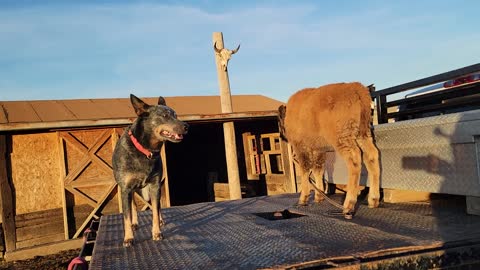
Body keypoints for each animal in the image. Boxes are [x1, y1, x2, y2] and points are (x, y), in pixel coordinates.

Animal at [112, 93, 188, 247]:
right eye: (165, 115)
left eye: (176, 115)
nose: (187, 126)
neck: (145, 150)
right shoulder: (126, 189)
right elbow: (127, 216)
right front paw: (128, 238)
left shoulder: (155, 185)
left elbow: (155, 211)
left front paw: (157, 233)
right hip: (132, 190)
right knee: (133, 206)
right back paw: (134, 223)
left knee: (156, 207)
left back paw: (160, 220)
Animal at [280, 81, 380, 216]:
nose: (281, 136)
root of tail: (355, 87)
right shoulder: (319, 149)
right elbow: (318, 170)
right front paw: (319, 196)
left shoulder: (301, 148)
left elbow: (305, 170)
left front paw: (303, 198)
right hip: (363, 135)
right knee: (372, 156)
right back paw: (373, 200)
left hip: (343, 139)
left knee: (354, 160)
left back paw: (348, 204)